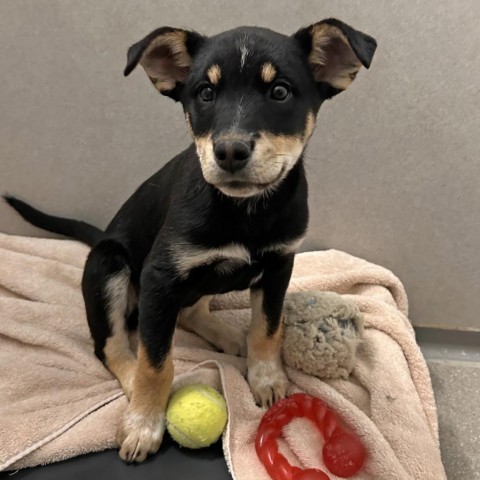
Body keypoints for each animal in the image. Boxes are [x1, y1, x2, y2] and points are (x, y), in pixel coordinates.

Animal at [5, 17, 376, 462]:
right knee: (113, 346)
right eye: (205, 93)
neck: (244, 211)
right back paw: (134, 385)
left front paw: (267, 379)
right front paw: (144, 423)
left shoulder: (279, 265)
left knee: (190, 311)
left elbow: (268, 328)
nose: (230, 151)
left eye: (280, 91)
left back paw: (228, 336)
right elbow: (155, 361)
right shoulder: (160, 276)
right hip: (109, 266)